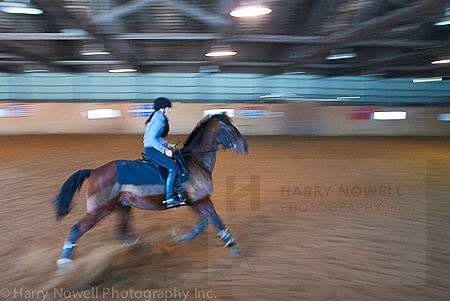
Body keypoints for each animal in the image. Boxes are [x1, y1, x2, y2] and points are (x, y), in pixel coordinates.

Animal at [55, 112, 250, 264]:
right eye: (230, 128)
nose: (245, 146)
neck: (196, 162)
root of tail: (94, 171)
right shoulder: (202, 201)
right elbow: (216, 221)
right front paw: (234, 247)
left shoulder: (195, 202)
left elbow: (202, 223)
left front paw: (182, 238)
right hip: (98, 210)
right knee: (76, 229)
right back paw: (64, 261)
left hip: (122, 208)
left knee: (122, 234)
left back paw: (146, 251)